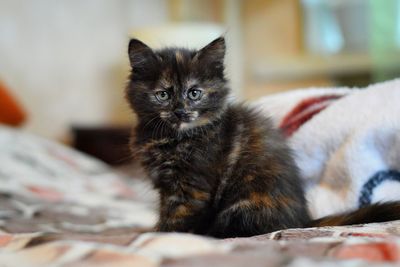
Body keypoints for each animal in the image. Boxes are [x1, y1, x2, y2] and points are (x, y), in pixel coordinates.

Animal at [126, 36, 400, 239]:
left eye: (195, 93)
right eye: (163, 95)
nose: (180, 111)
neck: (172, 138)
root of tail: (302, 220)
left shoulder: (193, 187)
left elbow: (177, 218)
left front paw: (161, 236)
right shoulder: (167, 186)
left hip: (243, 204)